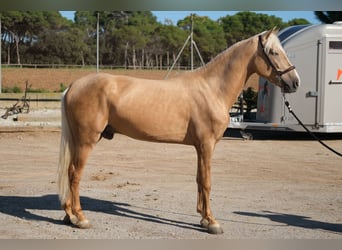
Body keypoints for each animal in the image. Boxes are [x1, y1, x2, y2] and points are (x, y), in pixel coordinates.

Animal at [58, 28, 300, 234]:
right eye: (273, 52)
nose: (295, 82)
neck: (212, 88)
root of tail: (73, 86)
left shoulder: (200, 147)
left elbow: (199, 179)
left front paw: (203, 218)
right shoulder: (207, 145)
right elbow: (207, 181)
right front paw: (212, 222)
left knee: (70, 173)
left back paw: (69, 216)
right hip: (86, 141)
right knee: (75, 174)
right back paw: (80, 218)